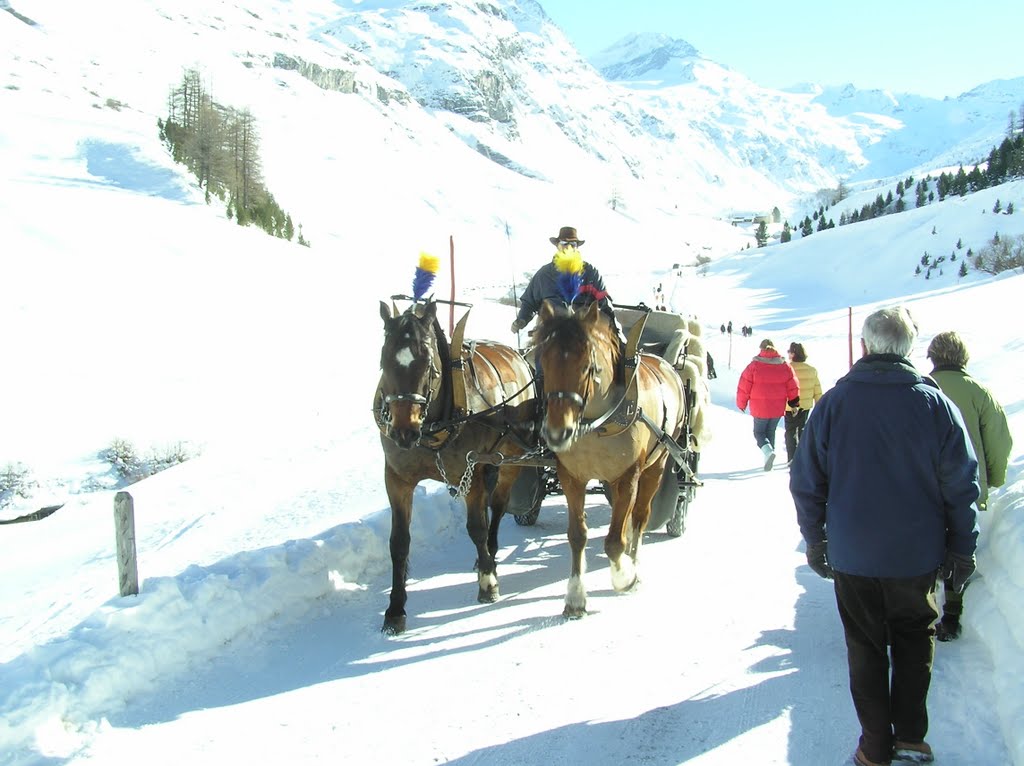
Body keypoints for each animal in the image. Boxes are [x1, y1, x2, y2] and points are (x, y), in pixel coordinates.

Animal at [374, 299, 536, 634]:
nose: (403, 431)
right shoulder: (396, 478)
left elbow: (476, 527)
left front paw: (488, 583)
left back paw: (490, 555)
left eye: (427, 362)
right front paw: (395, 610)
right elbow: (399, 543)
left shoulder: (469, 470)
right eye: (384, 359)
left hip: (511, 456)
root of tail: (518, 355)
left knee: (497, 506)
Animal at [532, 299, 684, 614]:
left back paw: (635, 563)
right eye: (544, 362)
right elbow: (577, 534)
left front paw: (625, 576)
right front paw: (575, 596)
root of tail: (665, 363)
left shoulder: (628, 476)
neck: (597, 423)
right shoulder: (572, 476)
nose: (557, 432)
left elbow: (615, 541)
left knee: (639, 517)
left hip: (657, 463)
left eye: (589, 367)